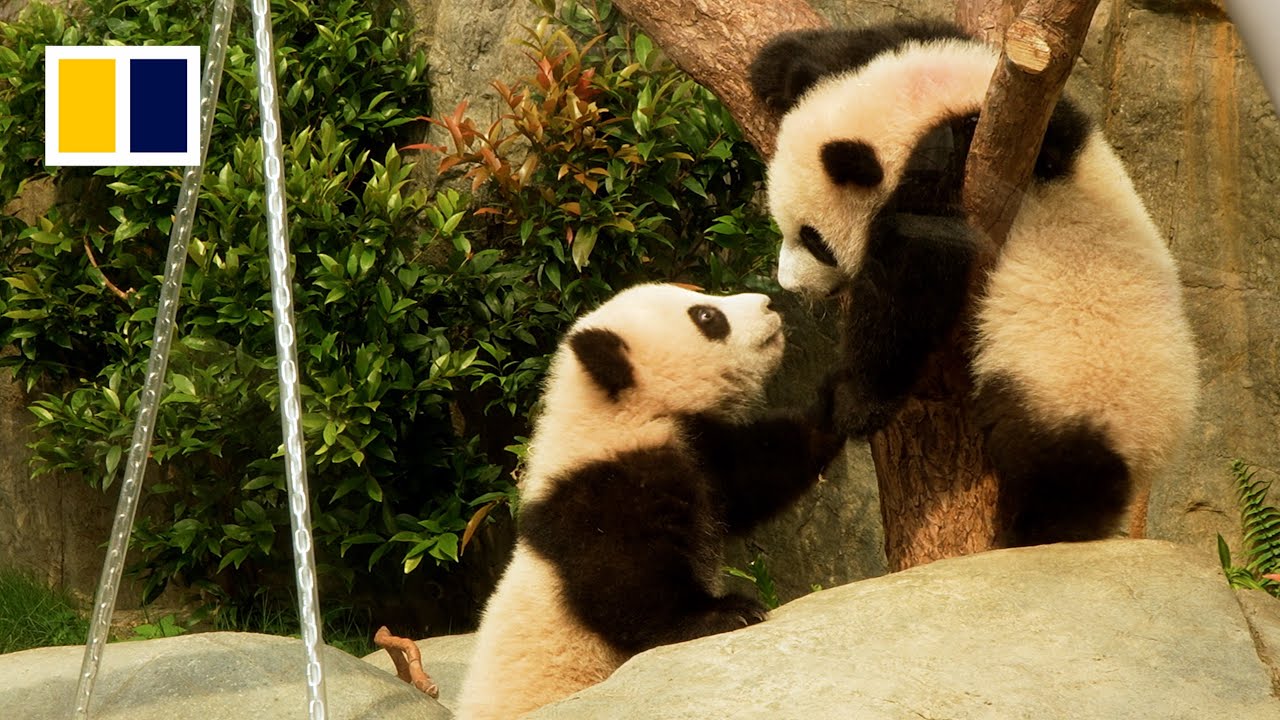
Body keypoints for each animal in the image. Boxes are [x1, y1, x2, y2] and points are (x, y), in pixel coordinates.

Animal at [456, 283, 842, 720]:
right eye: (706, 316)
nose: (768, 302)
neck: (615, 419)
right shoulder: (598, 497)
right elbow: (626, 588)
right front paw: (729, 612)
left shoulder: (701, 454)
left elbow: (757, 474)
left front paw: (844, 400)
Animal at [749, 20, 1200, 546]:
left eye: (814, 240)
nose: (790, 285)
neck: (934, 101)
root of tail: (1159, 446)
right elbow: (870, 40)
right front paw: (776, 64)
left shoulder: (962, 166)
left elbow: (912, 278)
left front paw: (855, 401)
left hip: (1079, 393)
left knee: (1060, 480)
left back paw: (1026, 536)